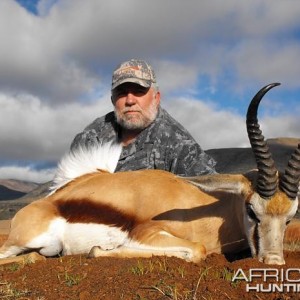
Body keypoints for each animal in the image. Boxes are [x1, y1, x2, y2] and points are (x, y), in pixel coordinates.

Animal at [0, 82, 298, 264]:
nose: (273, 262)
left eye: (289, 218)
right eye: (252, 210)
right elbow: (197, 249)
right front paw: (100, 249)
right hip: (31, 240)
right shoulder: (147, 233)